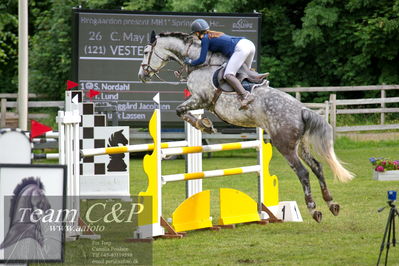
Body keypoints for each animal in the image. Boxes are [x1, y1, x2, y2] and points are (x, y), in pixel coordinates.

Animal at [138, 30, 356, 222]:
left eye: (146, 52)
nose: (142, 75)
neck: (201, 63)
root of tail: (302, 110)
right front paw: (205, 124)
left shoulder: (200, 99)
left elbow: (180, 111)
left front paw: (204, 125)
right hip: (301, 145)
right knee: (317, 167)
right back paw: (331, 204)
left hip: (284, 145)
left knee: (303, 172)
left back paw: (314, 210)